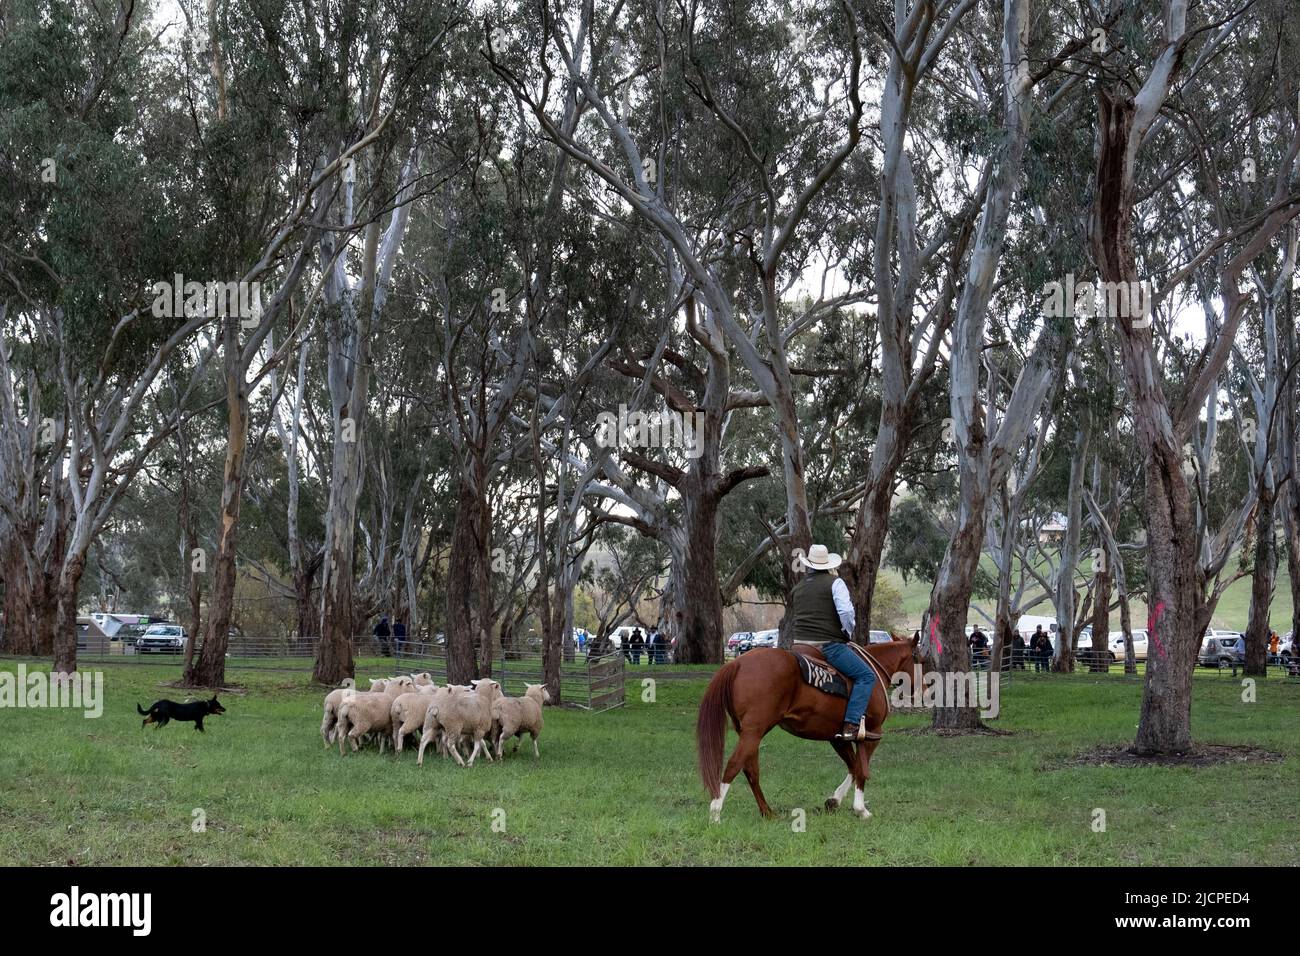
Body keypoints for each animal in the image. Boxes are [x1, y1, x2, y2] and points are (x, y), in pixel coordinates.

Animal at [696, 639, 920, 816]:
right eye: (920, 658)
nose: (923, 687)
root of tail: (738, 663)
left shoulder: (837, 737)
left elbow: (853, 766)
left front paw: (834, 800)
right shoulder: (871, 733)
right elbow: (862, 769)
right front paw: (861, 809)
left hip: (750, 733)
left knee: (750, 769)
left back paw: (767, 812)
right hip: (754, 731)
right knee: (734, 765)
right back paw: (715, 813)